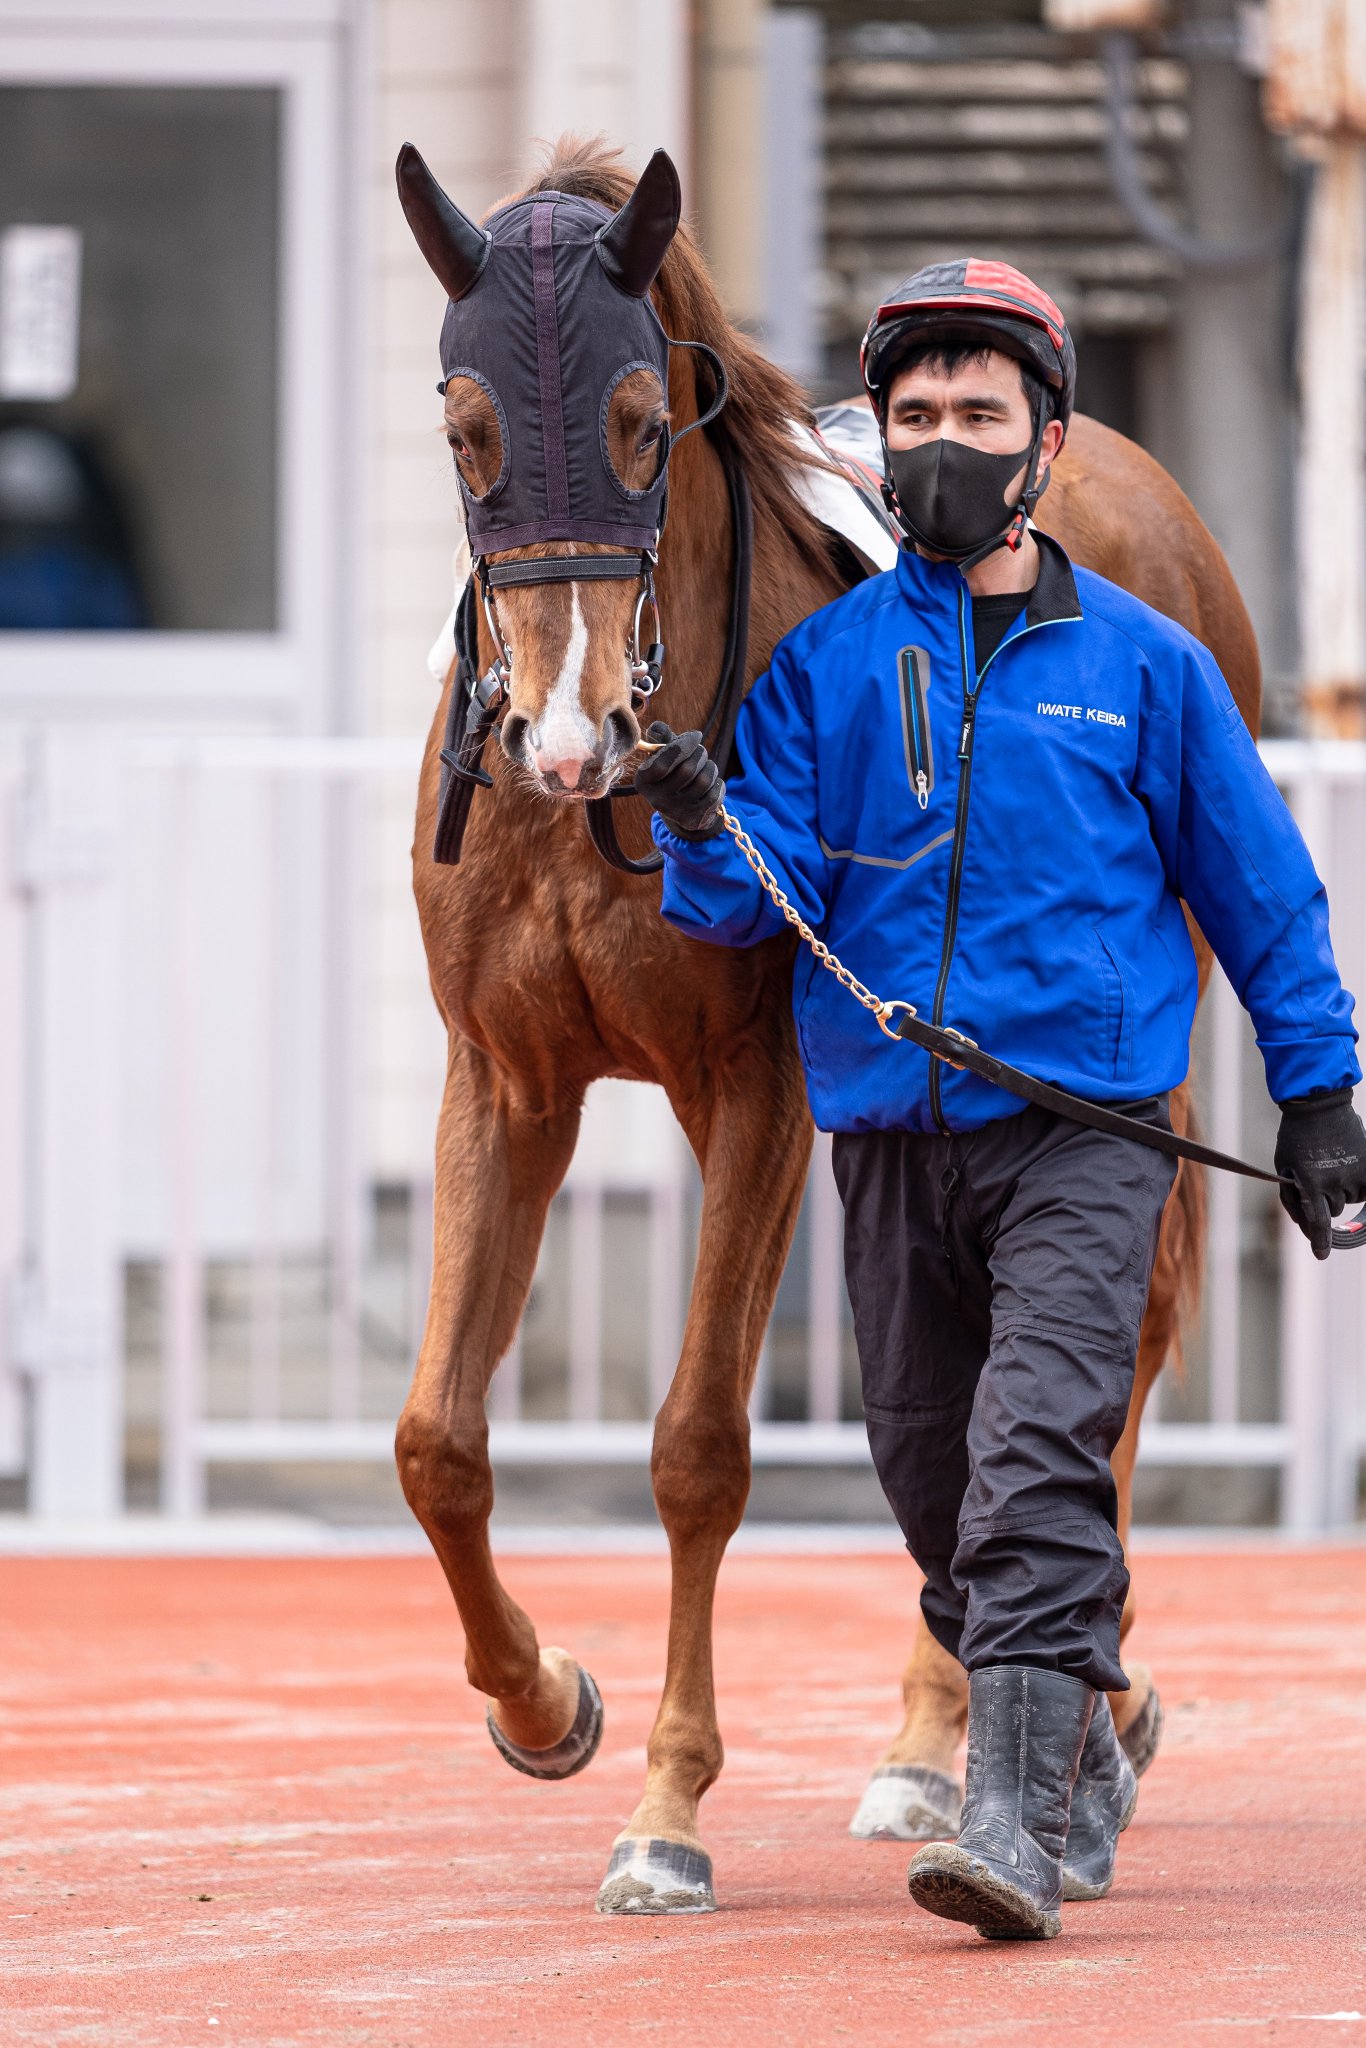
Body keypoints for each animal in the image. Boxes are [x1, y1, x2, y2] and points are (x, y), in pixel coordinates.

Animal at [395, 136, 1261, 1908]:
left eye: (638, 422)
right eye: (466, 431)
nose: (569, 735)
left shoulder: (761, 1091)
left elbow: (698, 1446)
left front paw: (666, 1809)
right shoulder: (503, 1080)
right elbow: (436, 1438)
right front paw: (545, 1700)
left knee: (1097, 1344)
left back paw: (1025, 1723)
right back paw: (981, 1728)